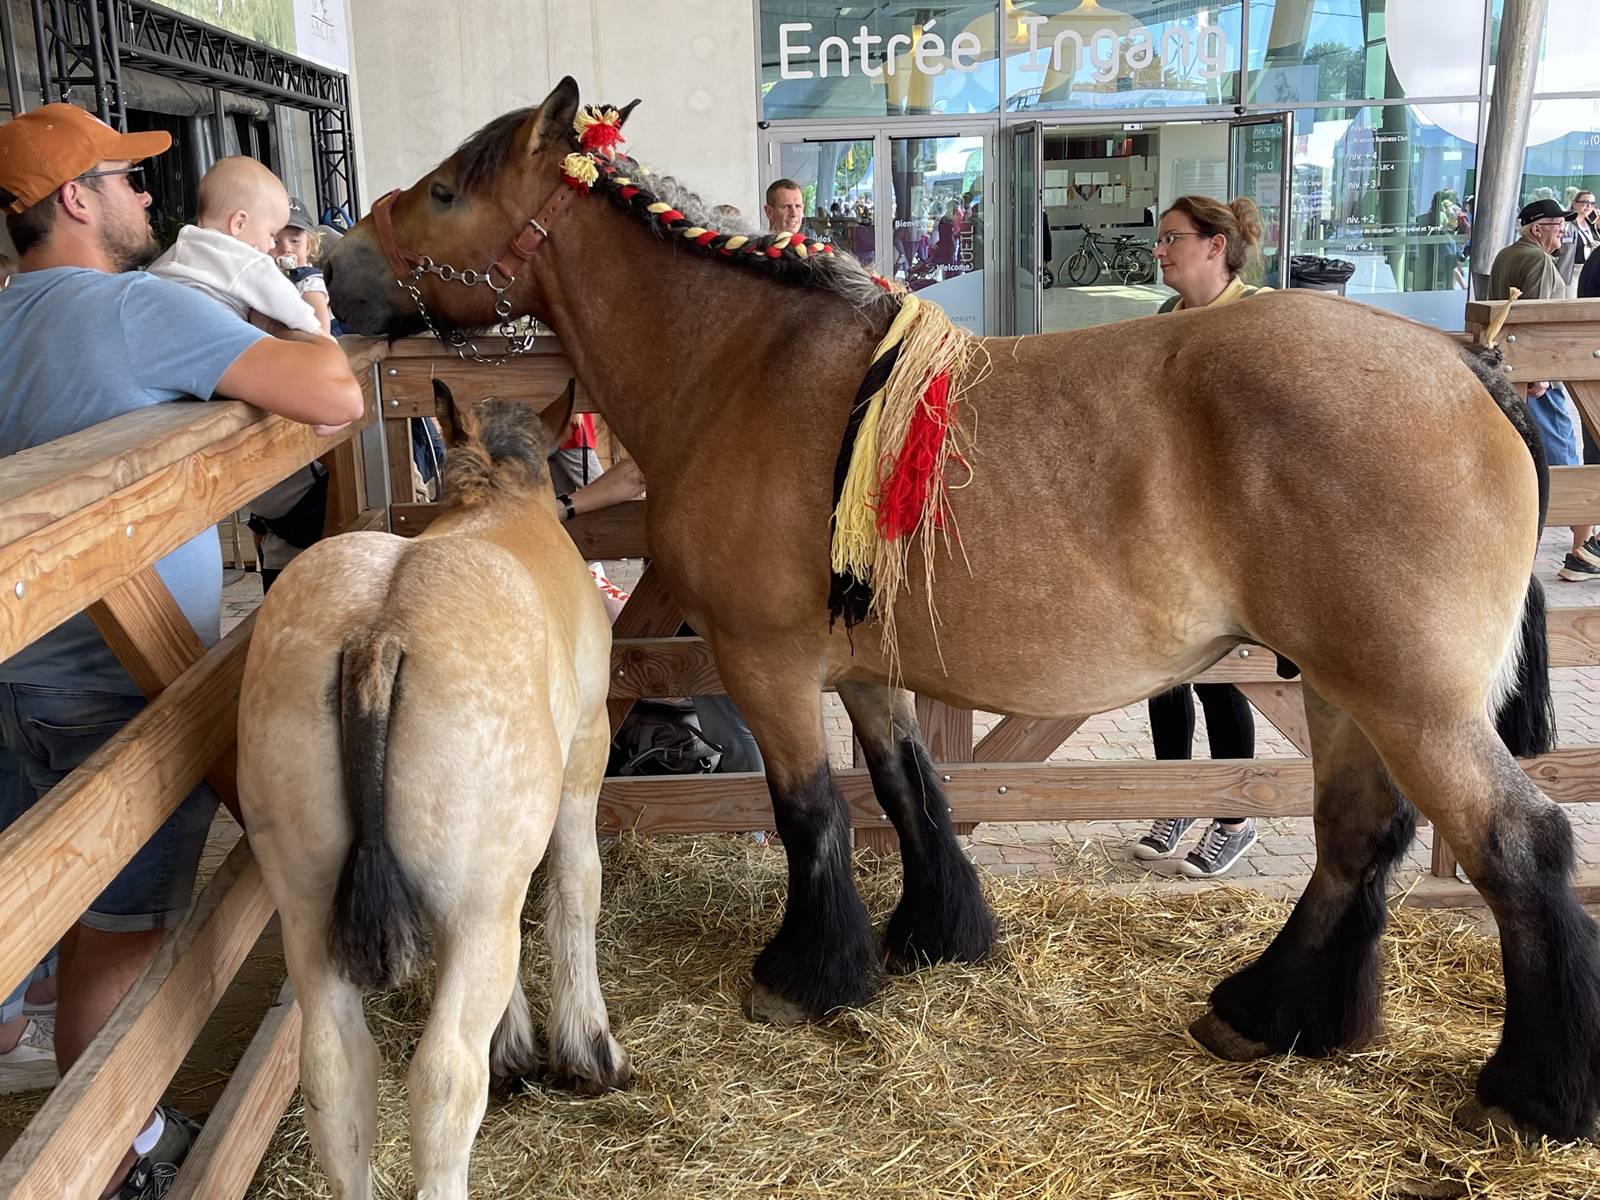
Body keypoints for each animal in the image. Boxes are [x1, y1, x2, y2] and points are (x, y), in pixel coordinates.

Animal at [237, 380, 632, 1200]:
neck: (500, 499)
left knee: (334, 1072)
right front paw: (586, 1049)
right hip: (474, 905)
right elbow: (576, 886)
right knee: (445, 1080)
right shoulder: (583, 754)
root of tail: (379, 629)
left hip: (307, 906)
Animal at [324, 78, 1600, 1143]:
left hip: (1407, 700)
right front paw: (935, 936)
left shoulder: (765, 664)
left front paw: (808, 975)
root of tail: (1466, 369)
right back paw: (1273, 1013)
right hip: (1339, 690)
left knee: (1518, 841)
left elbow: (810, 814)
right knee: (1357, 839)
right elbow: (911, 792)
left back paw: (1532, 1091)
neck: (741, 365)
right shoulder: (863, 672)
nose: (337, 267)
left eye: (445, 191)